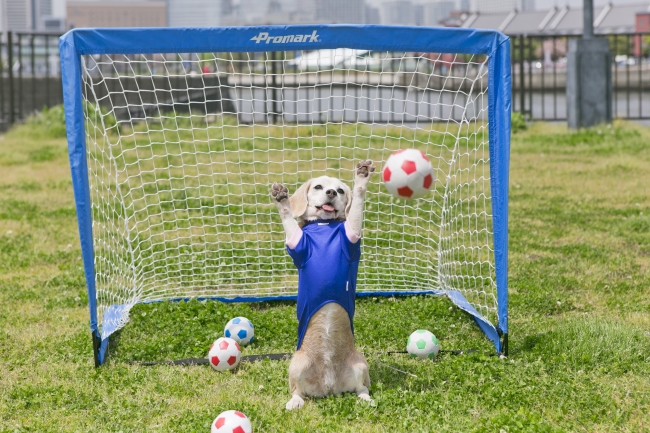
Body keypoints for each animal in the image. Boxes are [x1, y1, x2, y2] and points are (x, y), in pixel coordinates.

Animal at [270, 159, 374, 408]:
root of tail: (329, 386)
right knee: (298, 391)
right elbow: (288, 217)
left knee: (362, 387)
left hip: (360, 364)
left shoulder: (352, 236)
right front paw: (281, 199)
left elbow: (358, 201)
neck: (324, 225)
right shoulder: (297, 244)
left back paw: (366, 399)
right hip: (296, 365)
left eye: (341, 190)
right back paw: (294, 403)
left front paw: (362, 177)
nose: (331, 193)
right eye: (318, 187)